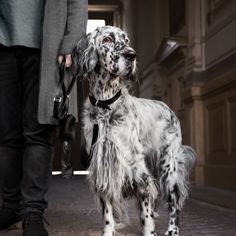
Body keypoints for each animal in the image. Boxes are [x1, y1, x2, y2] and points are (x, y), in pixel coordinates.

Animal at [72, 25, 195, 236]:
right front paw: (109, 230)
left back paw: (172, 229)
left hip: (168, 165)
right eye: (107, 39)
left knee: (174, 200)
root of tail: (167, 107)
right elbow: (108, 212)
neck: (106, 107)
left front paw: (149, 230)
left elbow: (147, 211)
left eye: (126, 40)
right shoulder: (103, 167)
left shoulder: (139, 172)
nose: (131, 55)